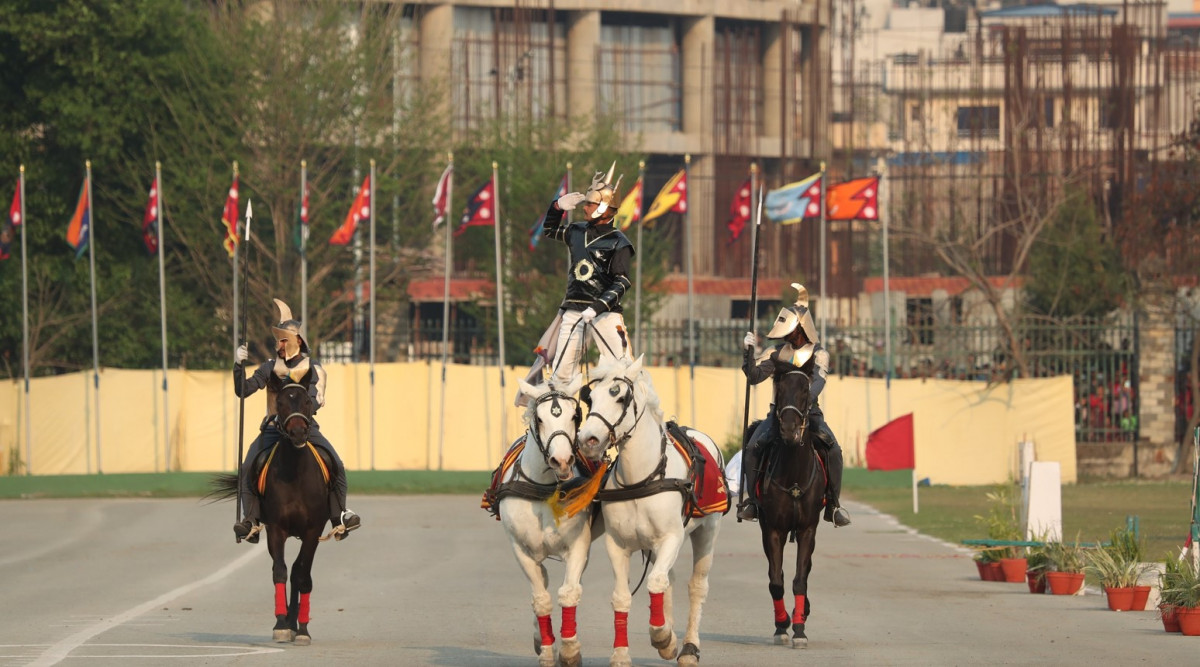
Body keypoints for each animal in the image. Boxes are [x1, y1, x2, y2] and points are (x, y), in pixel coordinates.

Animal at [213, 383, 336, 643]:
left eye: (308, 402)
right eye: (280, 403)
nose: (298, 433)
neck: (295, 473)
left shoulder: (312, 531)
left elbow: (303, 575)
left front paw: (303, 629)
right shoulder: (276, 529)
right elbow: (279, 571)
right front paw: (281, 624)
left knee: (299, 570)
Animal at [499, 374, 600, 667]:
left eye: (575, 415)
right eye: (539, 418)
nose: (562, 461)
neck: (543, 489)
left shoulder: (579, 545)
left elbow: (568, 592)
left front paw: (569, 651)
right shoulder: (520, 549)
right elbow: (541, 599)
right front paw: (546, 651)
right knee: (541, 582)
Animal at [573, 357, 720, 667]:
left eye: (620, 396)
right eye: (590, 397)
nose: (588, 439)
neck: (640, 480)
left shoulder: (671, 538)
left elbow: (655, 582)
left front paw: (662, 636)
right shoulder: (617, 545)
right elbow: (622, 596)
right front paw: (621, 654)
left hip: (707, 530)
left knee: (696, 585)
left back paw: (688, 647)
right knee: (669, 580)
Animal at [753, 367, 830, 647]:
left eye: (806, 390)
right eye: (779, 387)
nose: (788, 429)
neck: (794, 474)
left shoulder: (808, 529)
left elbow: (800, 579)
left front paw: (799, 628)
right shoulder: (772, 530)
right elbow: (776, 581)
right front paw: (782, 625)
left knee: (805, 571)